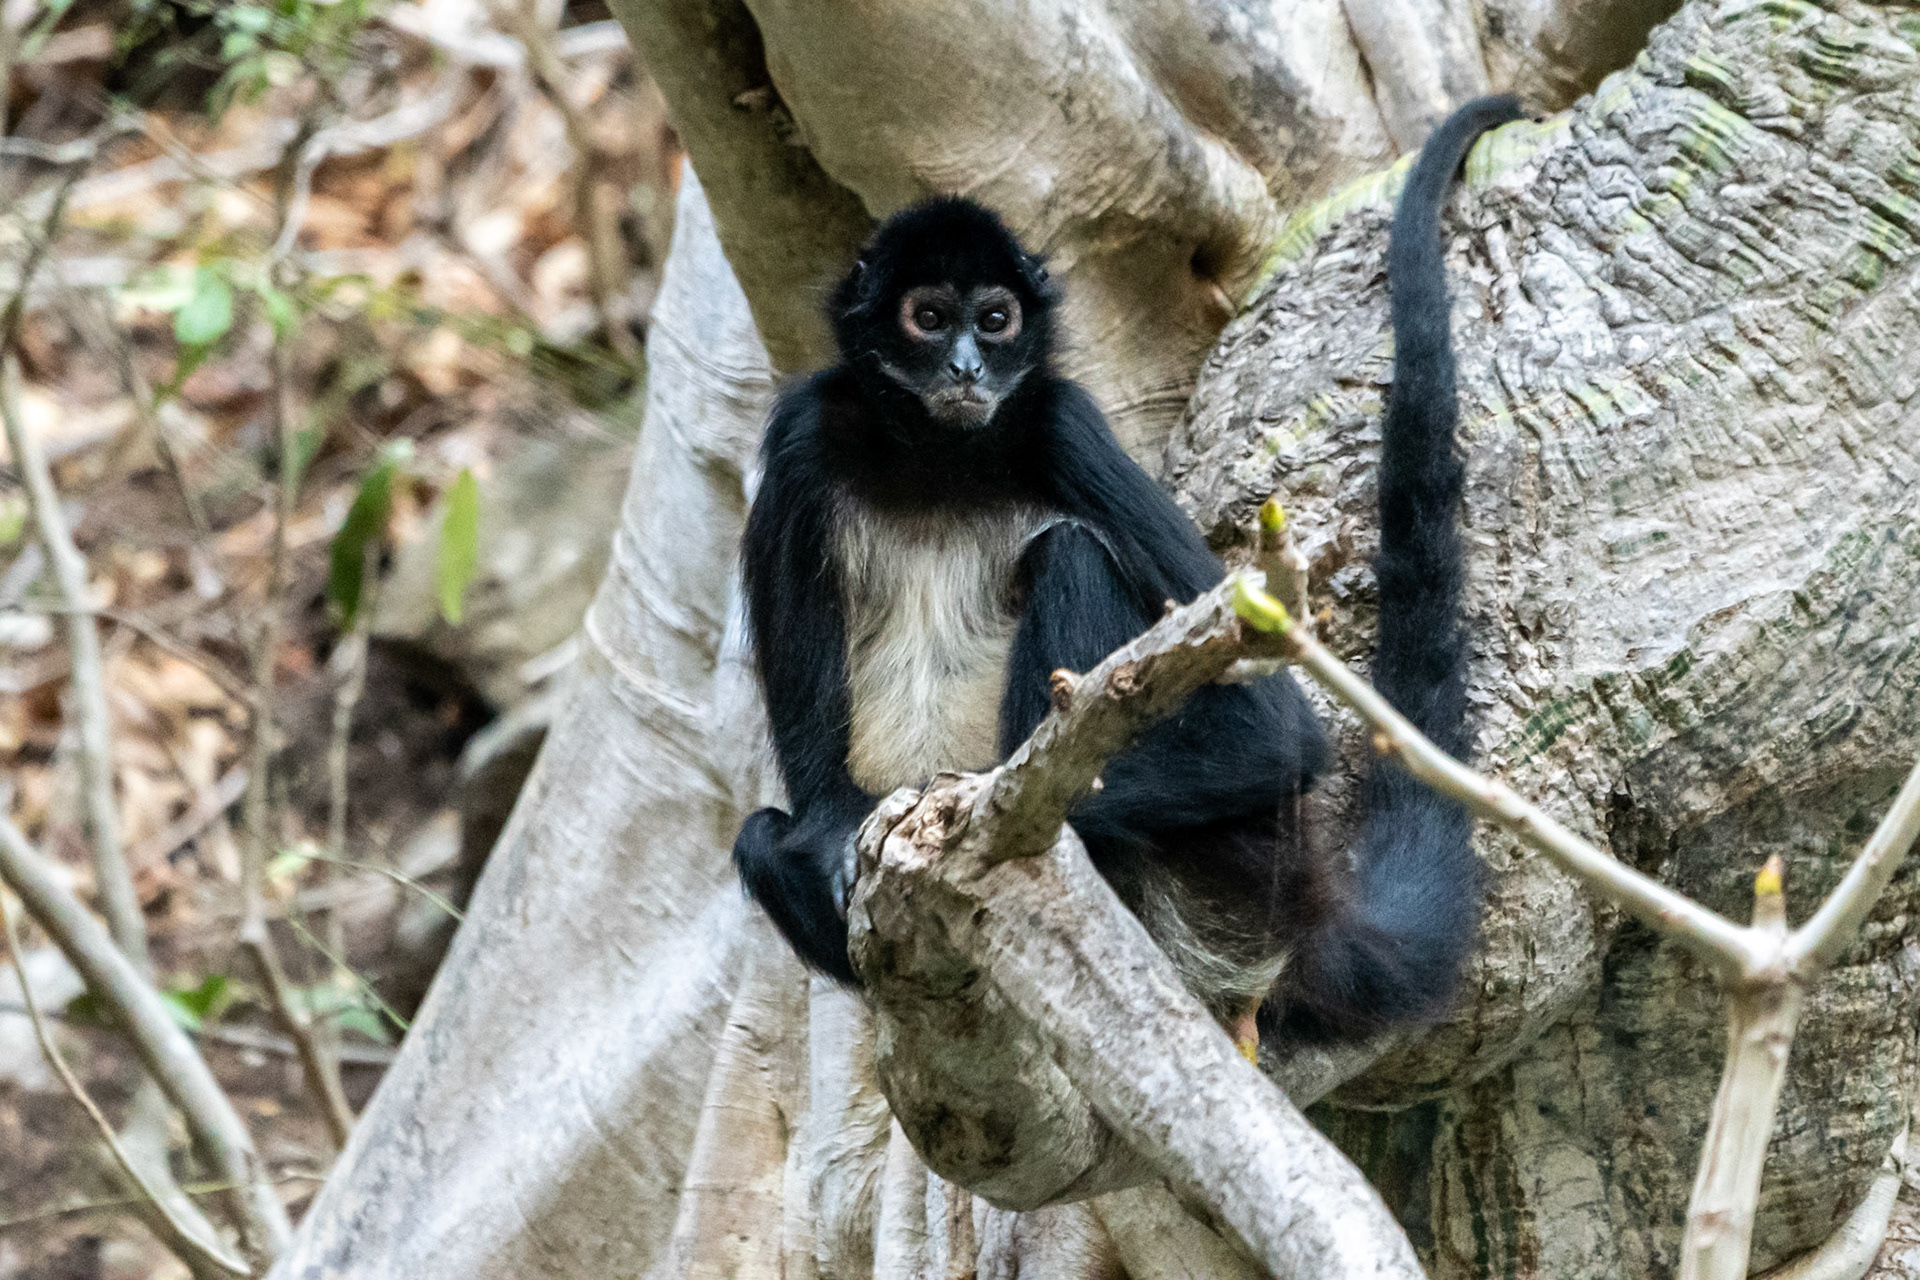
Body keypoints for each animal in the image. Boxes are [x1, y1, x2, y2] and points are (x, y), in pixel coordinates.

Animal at [732, 95, 1525, 1045]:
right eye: (928, 317)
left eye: (993, 320)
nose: (965, 365)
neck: (939, 457)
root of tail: (1303, 907)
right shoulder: (805, 430)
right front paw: (829, 838)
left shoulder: (1067, 422)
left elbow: (1279, 734)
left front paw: (965, 814)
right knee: (756, 835)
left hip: (1218, 882)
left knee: (1071, 551)